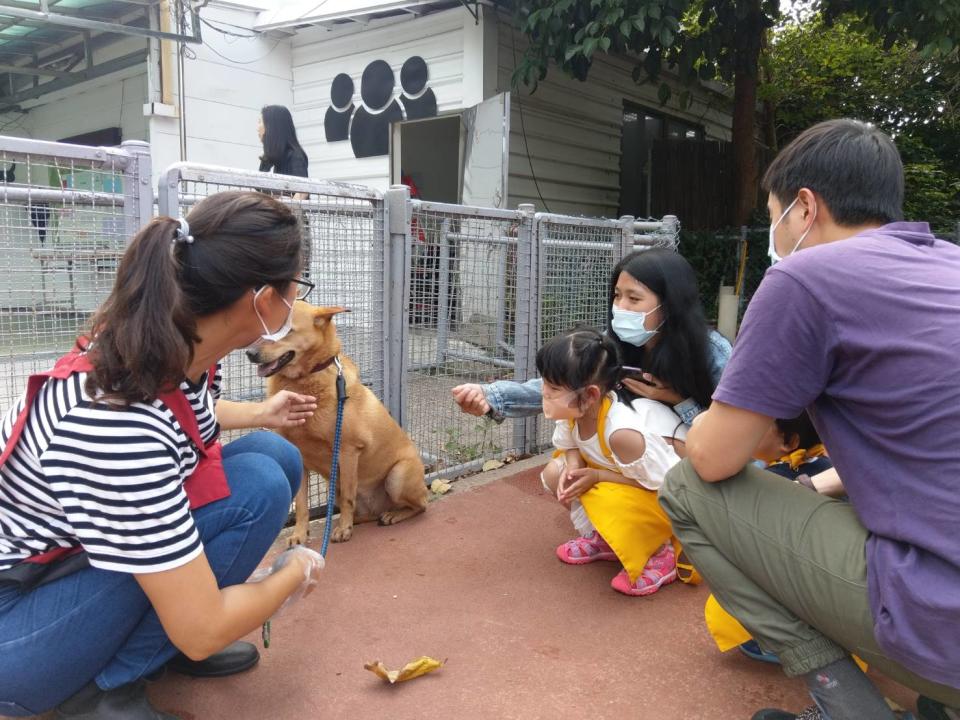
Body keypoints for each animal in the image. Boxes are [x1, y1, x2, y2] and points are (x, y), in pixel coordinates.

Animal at [248, 300, 428, 544]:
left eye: (284, 331)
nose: (249, 353)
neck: (305, 380)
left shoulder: (348, 451)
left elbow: (349, 497)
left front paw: (343, 529)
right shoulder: (300, 457)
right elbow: (302, 504)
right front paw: (299, 534)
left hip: (396, 477)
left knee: (421, 505)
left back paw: (392, 515)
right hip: (335, 488)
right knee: (367, 512)